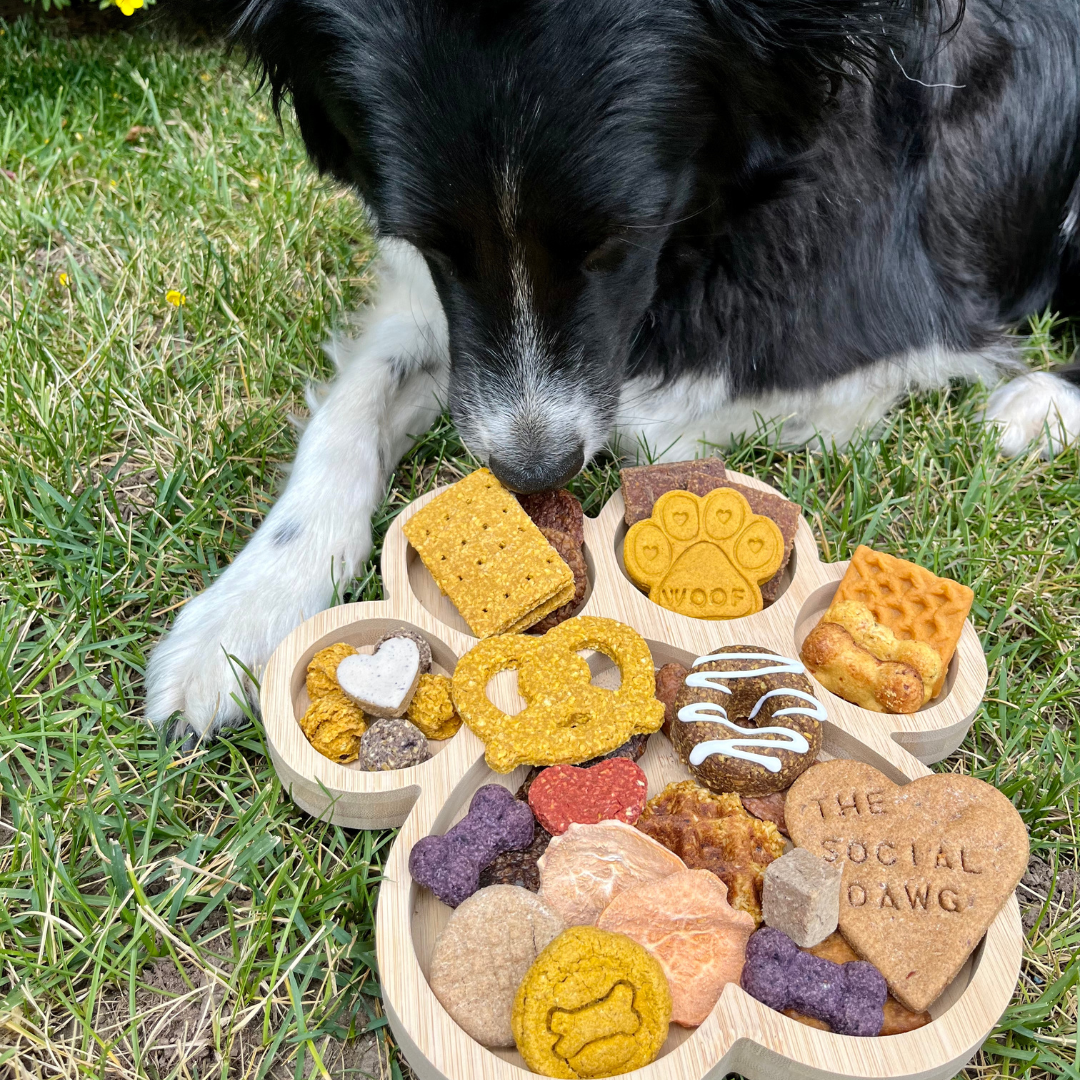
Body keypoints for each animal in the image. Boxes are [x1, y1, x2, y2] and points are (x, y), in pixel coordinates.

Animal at [147, 0, 1080, 743]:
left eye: (621, 237)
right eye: (432, 241)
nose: (532, 471)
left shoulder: (879, 327)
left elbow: (659, 419)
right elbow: (355, 406)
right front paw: (241, 615)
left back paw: (1039, 406)